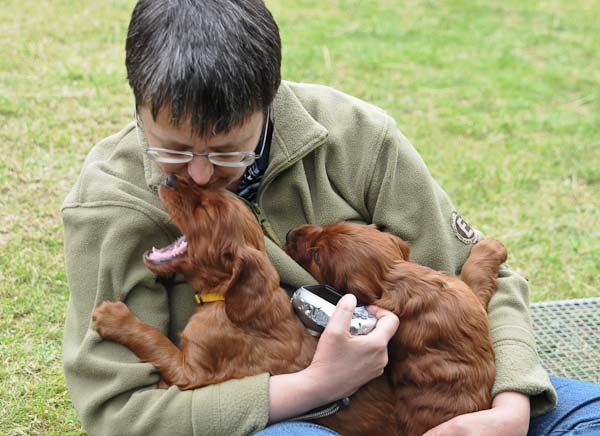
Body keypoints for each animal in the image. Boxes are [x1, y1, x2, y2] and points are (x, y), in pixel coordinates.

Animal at [91, 175, 396, 434]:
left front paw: (113, 317)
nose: (168, 178)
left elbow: (155, 341)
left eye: (204, 210)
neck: (224, 297)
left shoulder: (192, 371)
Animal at [282, 223, 506, 434]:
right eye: (326, 228)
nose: (289, 233)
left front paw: (490, 247)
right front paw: (492, 247)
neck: (401, 279)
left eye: (316, 256)